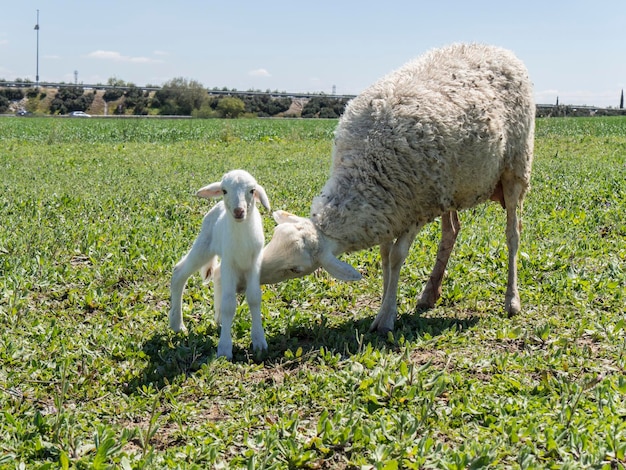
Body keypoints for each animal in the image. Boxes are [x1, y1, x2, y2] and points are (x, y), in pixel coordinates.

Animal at [169, 170, 270, 360]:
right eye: (224, 191)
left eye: (252, 190)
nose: (239, 211)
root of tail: (217, 207)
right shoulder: (230, 261)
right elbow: (229, 304)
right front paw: (224, 349)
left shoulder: (254, 263)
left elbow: (254, 297)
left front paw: (259, 341)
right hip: (204, 245)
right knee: (179, 272)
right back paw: (177, 324)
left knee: (216, 274)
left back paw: (219, 318)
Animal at [258, 42, 532, 332]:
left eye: (295, 269)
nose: (250, 278)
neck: (367, 168)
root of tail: (496, 48)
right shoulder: (388, 210)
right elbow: (384, 255)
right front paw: (384, 304)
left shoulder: (415, 209)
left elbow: (396, 256)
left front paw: (386, 316)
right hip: (449, 185)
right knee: (451, 231)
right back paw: (429, 294)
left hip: (515, 168)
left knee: (513, 234)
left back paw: (512, 300)